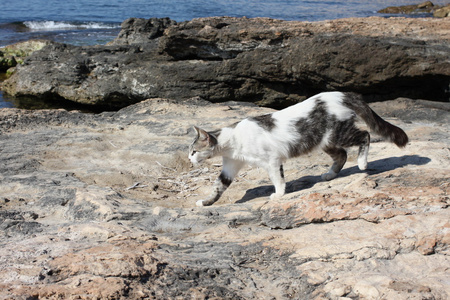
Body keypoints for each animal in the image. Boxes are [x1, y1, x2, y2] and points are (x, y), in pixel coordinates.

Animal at [188, 92, 410, 207]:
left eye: (194, 151)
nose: (189, 160)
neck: (233, 141)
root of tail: (341, 93)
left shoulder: (272, 160)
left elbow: (277, 179)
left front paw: (278, 195)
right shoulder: (231, 165)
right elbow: (218, 186)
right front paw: (206, 202)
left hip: (338, 133)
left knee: (365, 136)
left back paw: (362, 163)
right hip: (325, 140)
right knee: (342, 154)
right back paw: (329, 175)